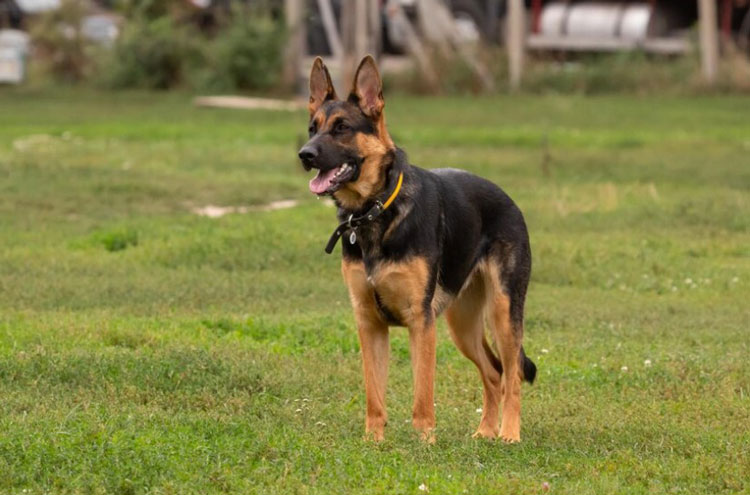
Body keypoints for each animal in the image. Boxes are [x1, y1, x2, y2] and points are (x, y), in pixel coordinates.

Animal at [296, 56, 536, 444]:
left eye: (342, 128)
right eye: (312, 129)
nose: (305, 154)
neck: (375, 211)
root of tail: (508, 199)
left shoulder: (420, 323)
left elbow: (423, 394)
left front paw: (425, 443)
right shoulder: (369, 324)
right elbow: (374, 395)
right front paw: (373, 442)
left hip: (503, 313)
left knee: (512, 375)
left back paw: (509, 435)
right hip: (462, 326)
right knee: (493, 373)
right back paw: (485, 432)